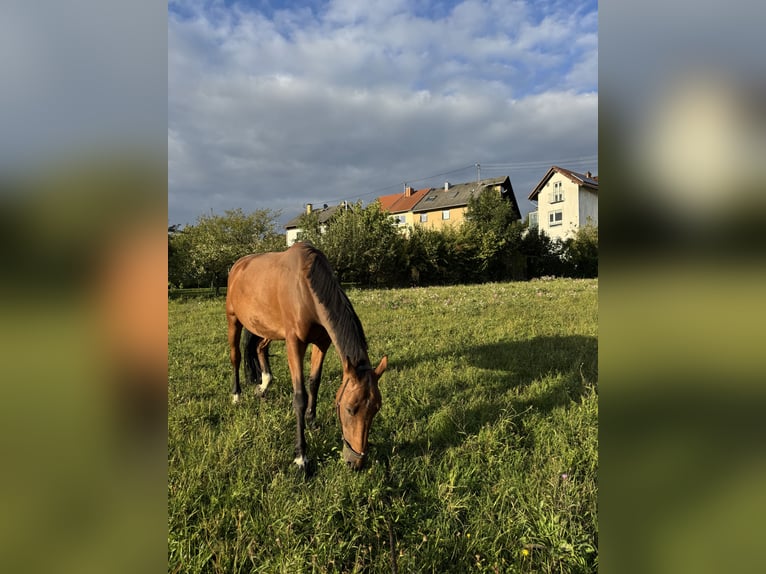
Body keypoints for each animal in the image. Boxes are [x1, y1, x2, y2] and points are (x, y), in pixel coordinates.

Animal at [225, 242, 387, 471]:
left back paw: (263, 385)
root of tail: (238, 265)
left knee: (259, 349)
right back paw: (237, 395)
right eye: (350, 409)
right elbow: (300, 396)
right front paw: (301, 457)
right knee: (236, 356)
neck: (305, 290)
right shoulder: (294, 344)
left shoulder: (322, 343)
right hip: (233, 320)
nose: (355, 462)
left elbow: (314, 382)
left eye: (376, 409)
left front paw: (312, 421)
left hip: (267, 327)